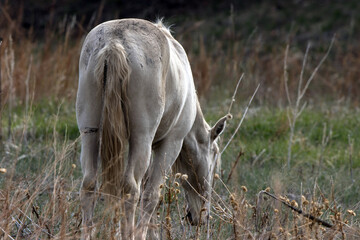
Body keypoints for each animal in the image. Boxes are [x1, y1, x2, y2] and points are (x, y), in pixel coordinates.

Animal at [76, 17, 231, 239]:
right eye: (214, 159)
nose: (199, 217)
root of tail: (114, 43)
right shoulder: (170, 143)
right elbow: (151, 194)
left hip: (90, 134)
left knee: (89, 185)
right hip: (142, 138)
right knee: (131, 189)